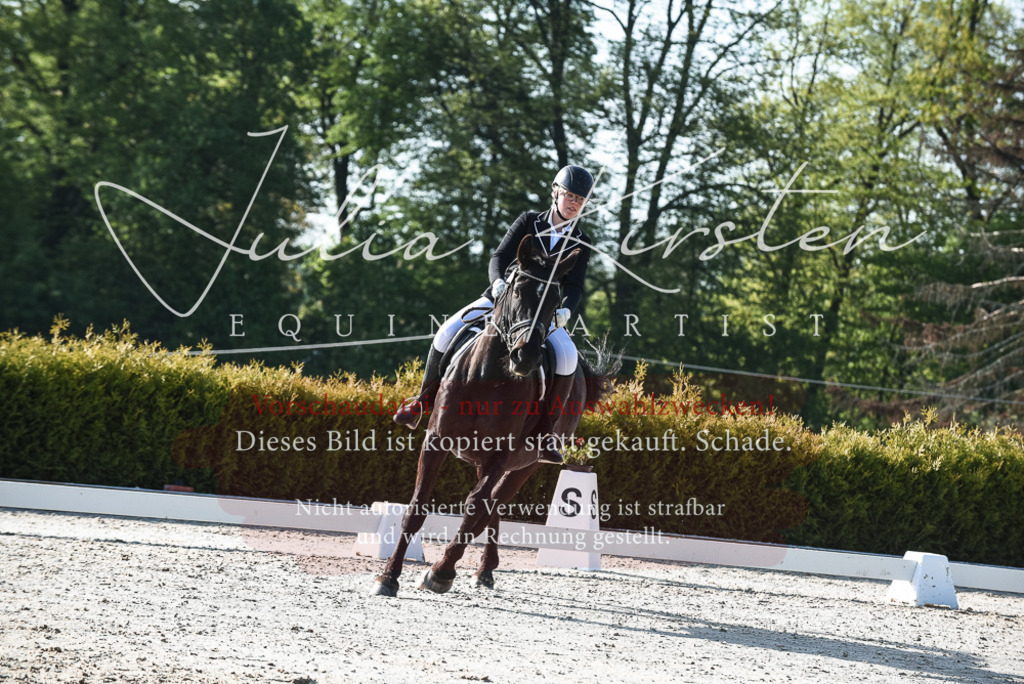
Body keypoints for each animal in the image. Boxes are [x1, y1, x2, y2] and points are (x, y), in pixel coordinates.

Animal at [372, 234, 614, 597]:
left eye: (555, 300)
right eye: (517, 291)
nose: (525, 356)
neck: (488, 377)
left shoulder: (501, 455)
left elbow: (475, 508)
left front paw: (441, 573)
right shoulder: (436, 442)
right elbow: (417, 508)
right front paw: (389, 577)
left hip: (524, 464)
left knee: (492, 504)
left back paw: (481, 569)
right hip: (482, 459)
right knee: (490, 507)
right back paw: (483, 571)